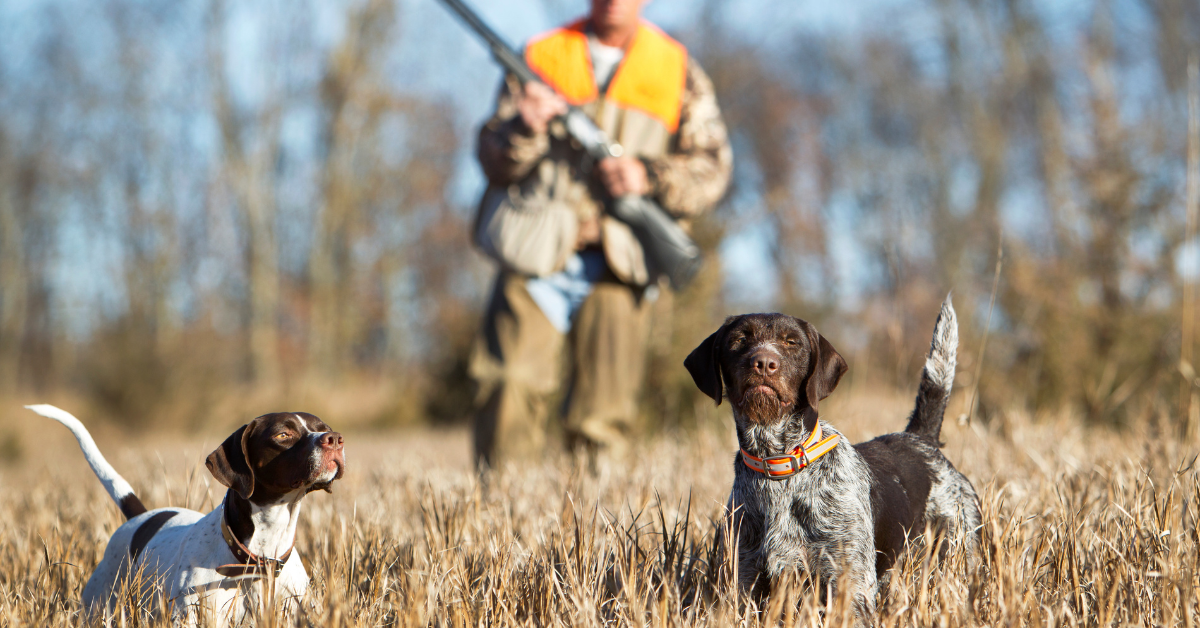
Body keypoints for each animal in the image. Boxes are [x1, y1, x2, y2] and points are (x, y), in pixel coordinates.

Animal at [25, 405, 345, 624]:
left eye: (323, 426)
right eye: (283, 434)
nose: (335, 439)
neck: (258, 557)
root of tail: (139, 518)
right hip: (100, 607)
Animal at [691, 297, 979, 614]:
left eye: (792, 342)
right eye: (739, 339)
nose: (764, 363)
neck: (779, 466)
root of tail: (921, 439)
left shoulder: (850, 586)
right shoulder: (744, 583)